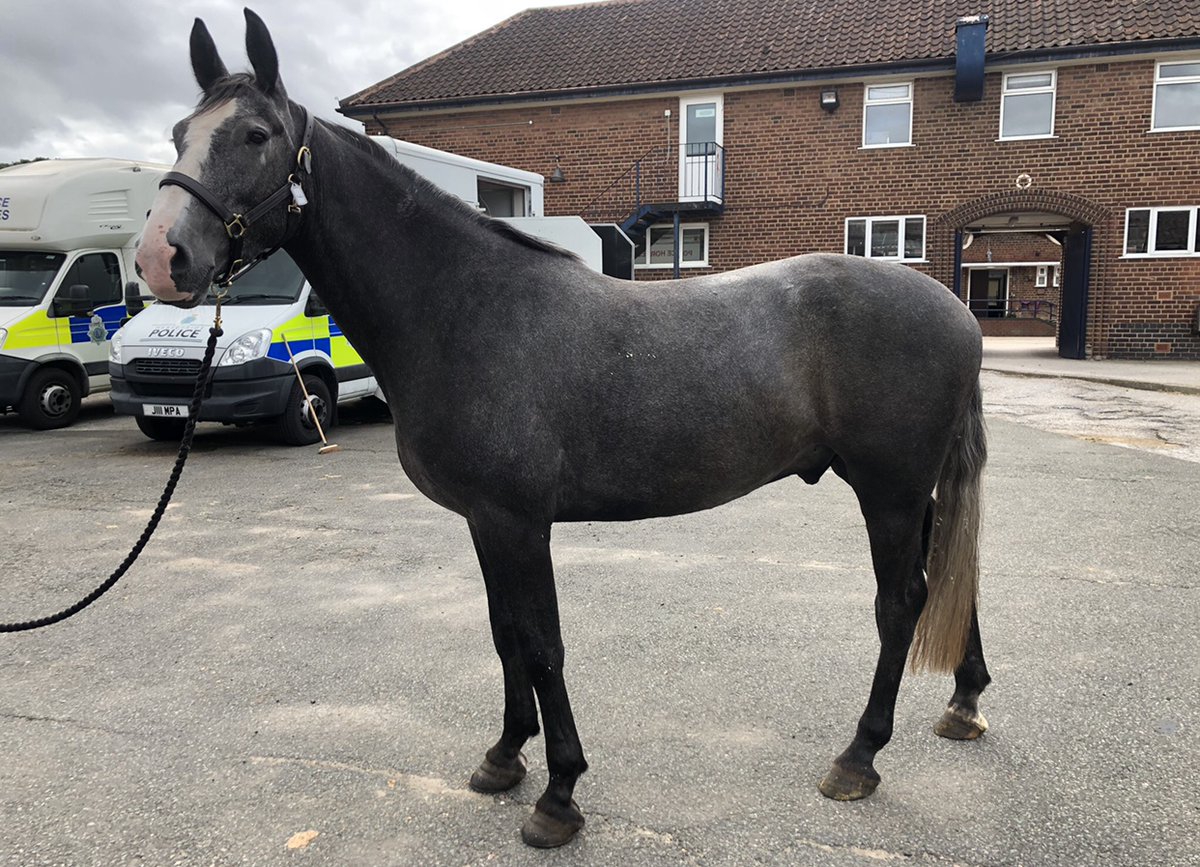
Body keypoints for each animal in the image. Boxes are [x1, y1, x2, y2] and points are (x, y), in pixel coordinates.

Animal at [135, 10, 992, 848]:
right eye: (179, 132)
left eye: (255, 134)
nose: (158, 258)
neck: (462, 304)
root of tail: (957, 311)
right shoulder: (484, 520)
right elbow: (504, 632)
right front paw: (504, 756)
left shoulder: (519, 520)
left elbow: (543, 644)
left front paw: (559, 793)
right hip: (910, 491)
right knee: (950, 578)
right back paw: (965, 702)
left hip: (887, 491)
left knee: (902, 602)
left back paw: (858, 756)